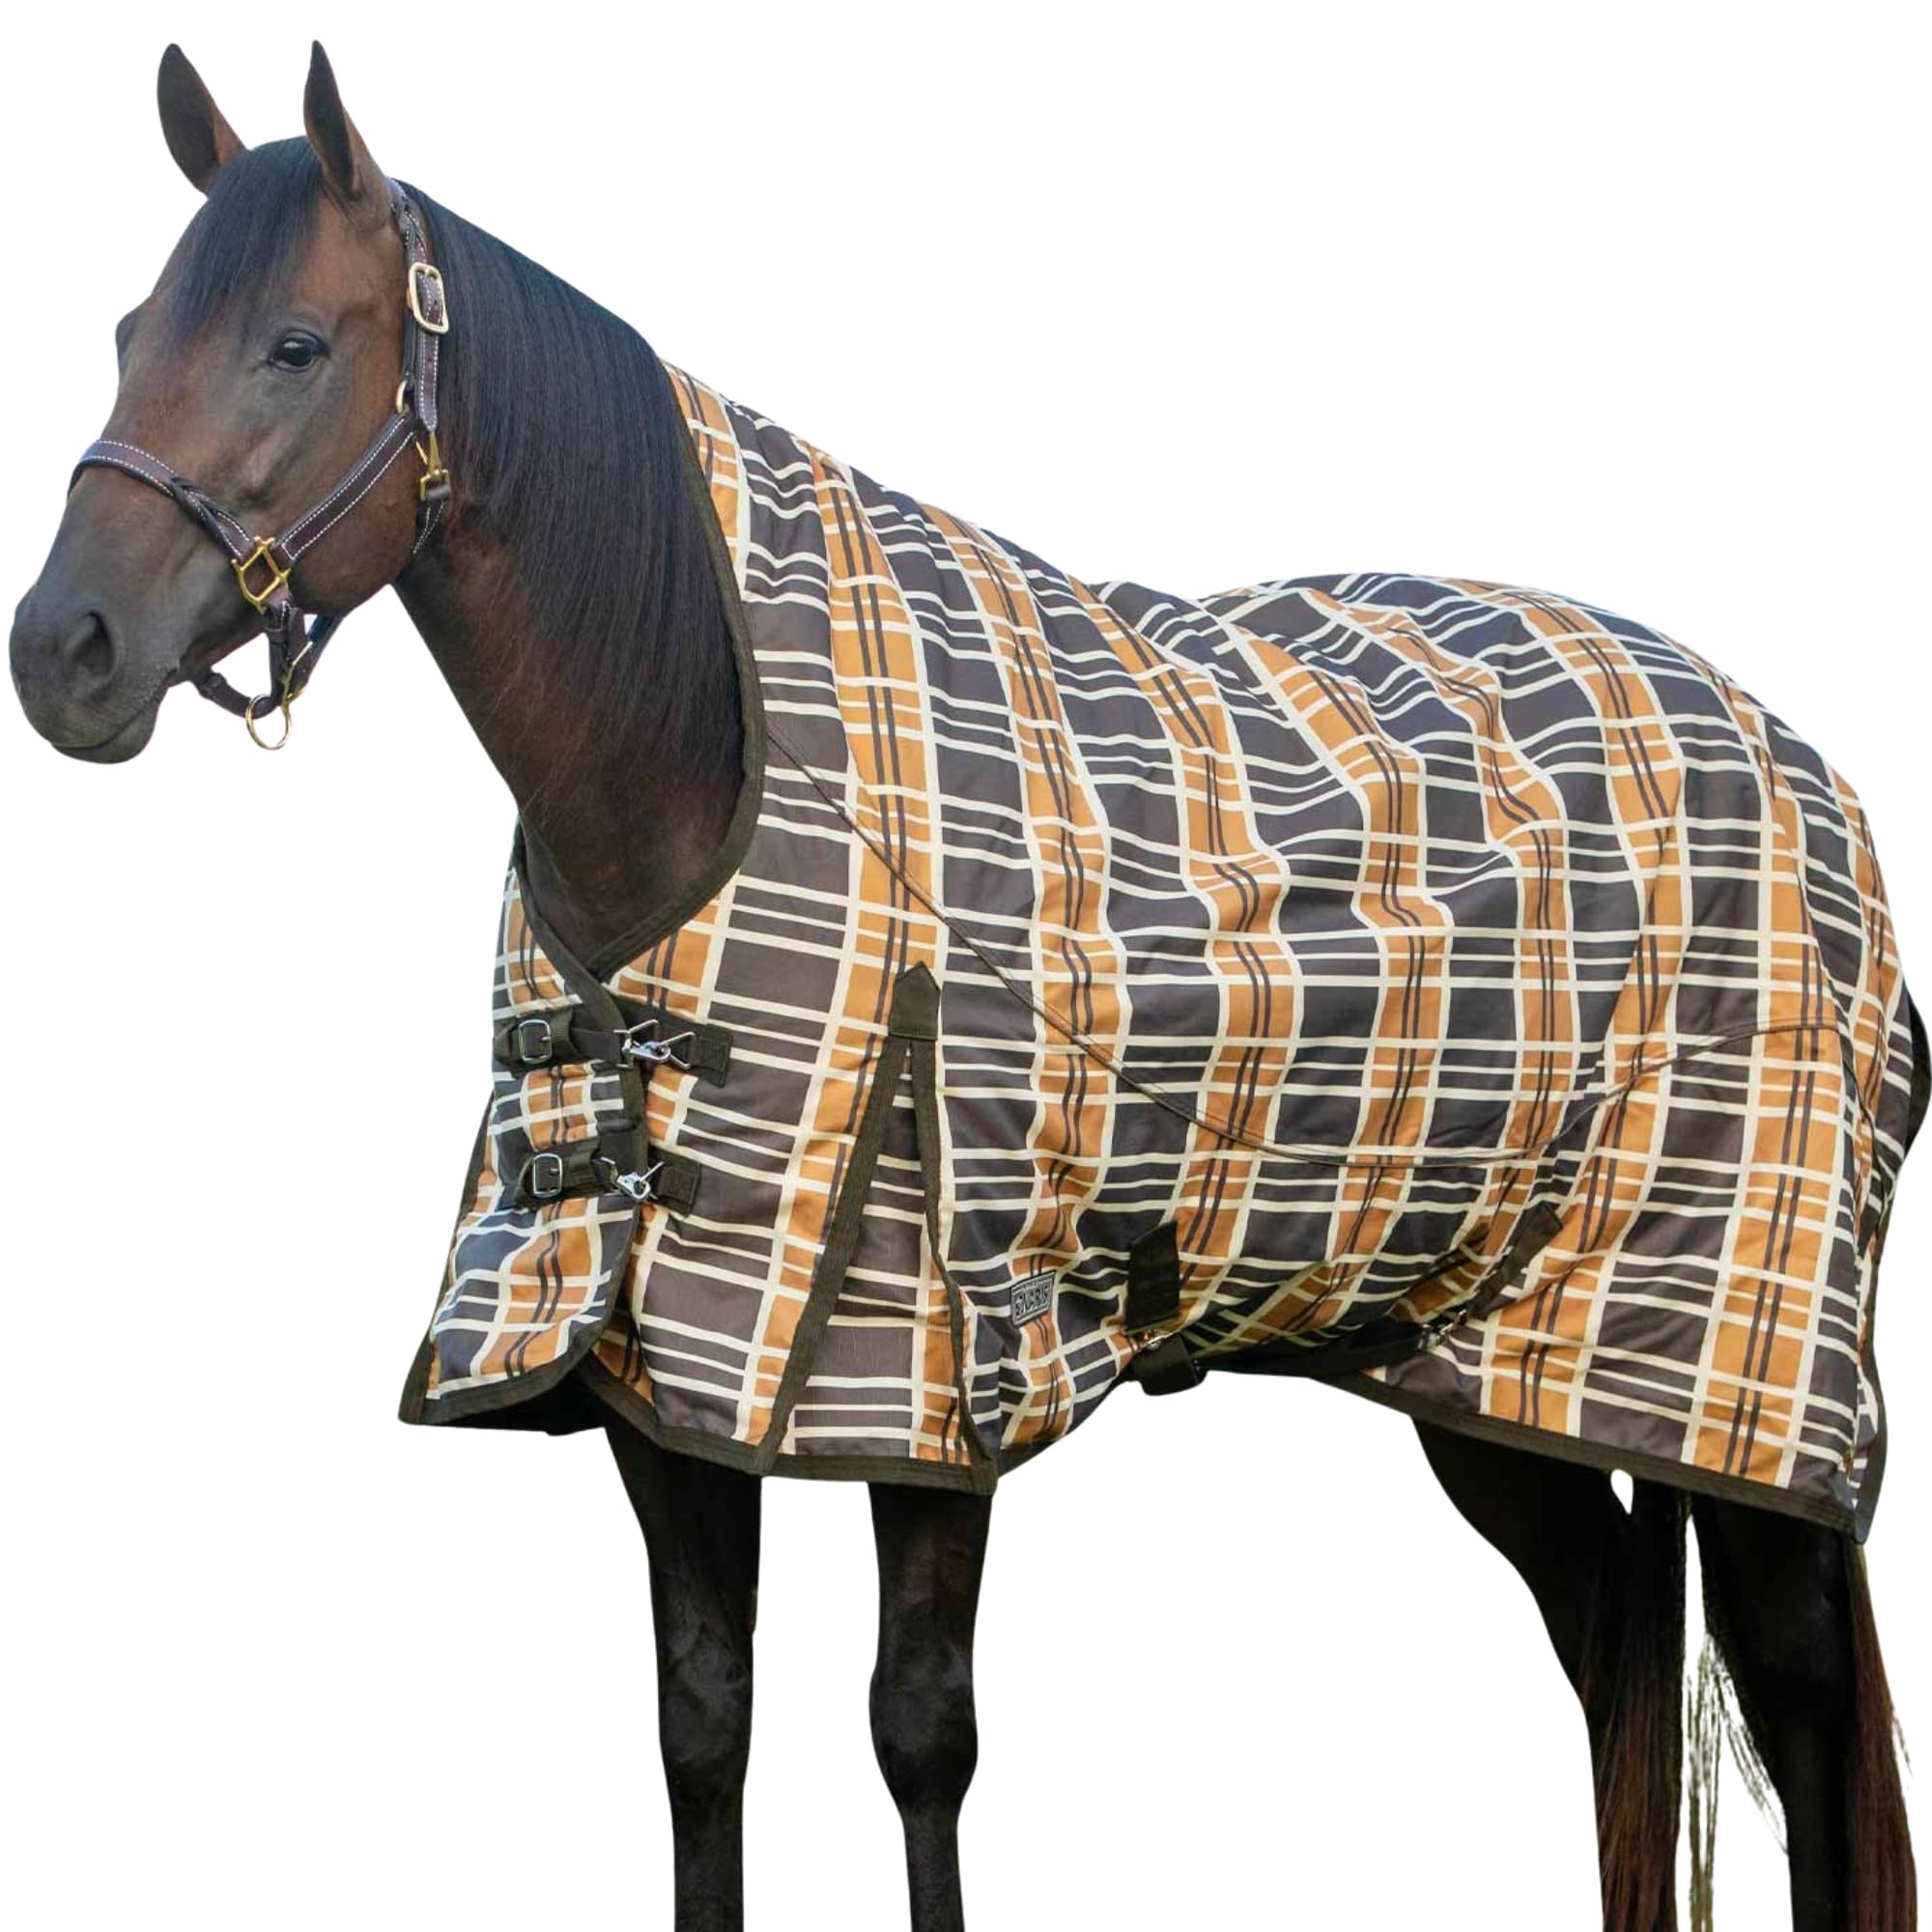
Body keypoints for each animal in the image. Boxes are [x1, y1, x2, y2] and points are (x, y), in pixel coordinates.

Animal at [8, 44, 1917, 1932]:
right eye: (122, 329)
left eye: (294, 345)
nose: (61, 653)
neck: (711, 753)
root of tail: (1795, 758)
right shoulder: (660, 1375)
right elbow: (703, 1725)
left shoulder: (935, 1357)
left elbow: (920, 1731)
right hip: (1495, 1366)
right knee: (1616, 1667)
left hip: (1735, 1365)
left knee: (1803, 1711)